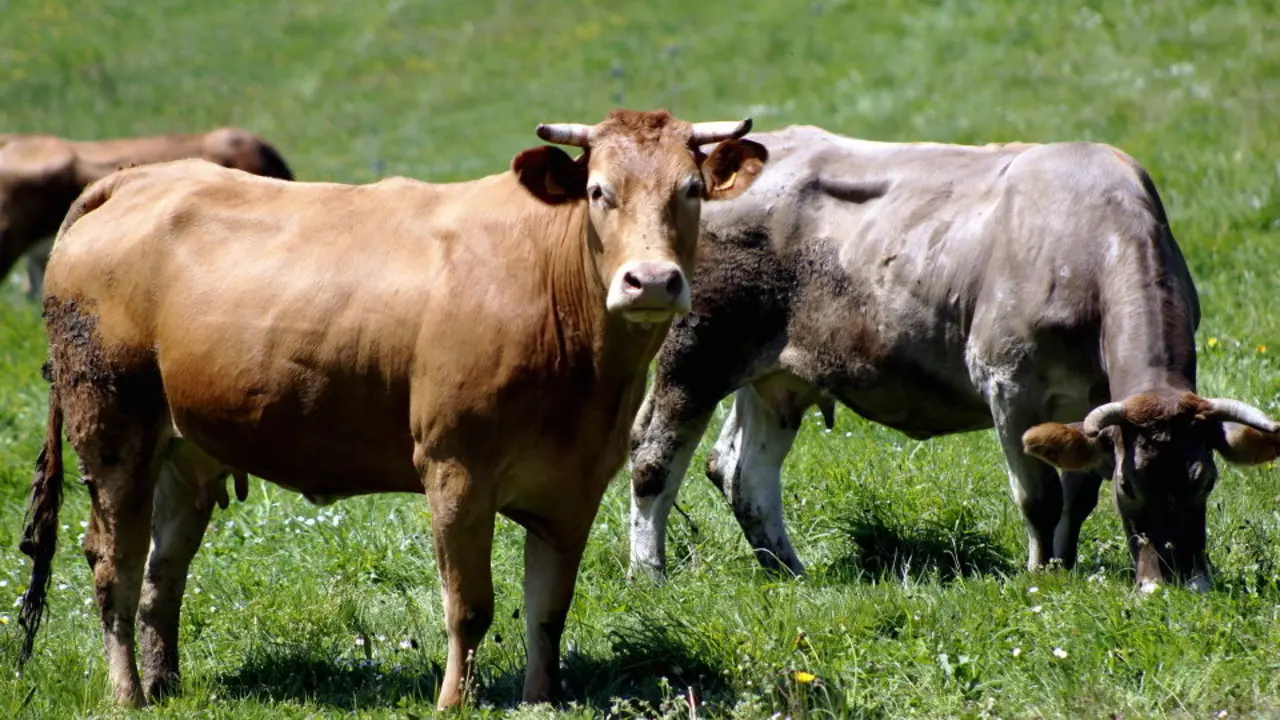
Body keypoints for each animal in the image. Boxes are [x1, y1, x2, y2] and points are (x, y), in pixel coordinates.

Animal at [628, 124, 1279, 593]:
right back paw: (649, 576)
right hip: (695, 352)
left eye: (1205, 480)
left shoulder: (1091, 404)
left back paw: (791, 573)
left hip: (774, 374)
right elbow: (1040, 497)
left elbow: (1076, 496)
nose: (1178, 587)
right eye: (1133, 488)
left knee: (741, 470)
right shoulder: (1008, 384)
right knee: (653, 458)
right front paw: (1043, 578)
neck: (1093, 241)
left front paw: (1067, 567)